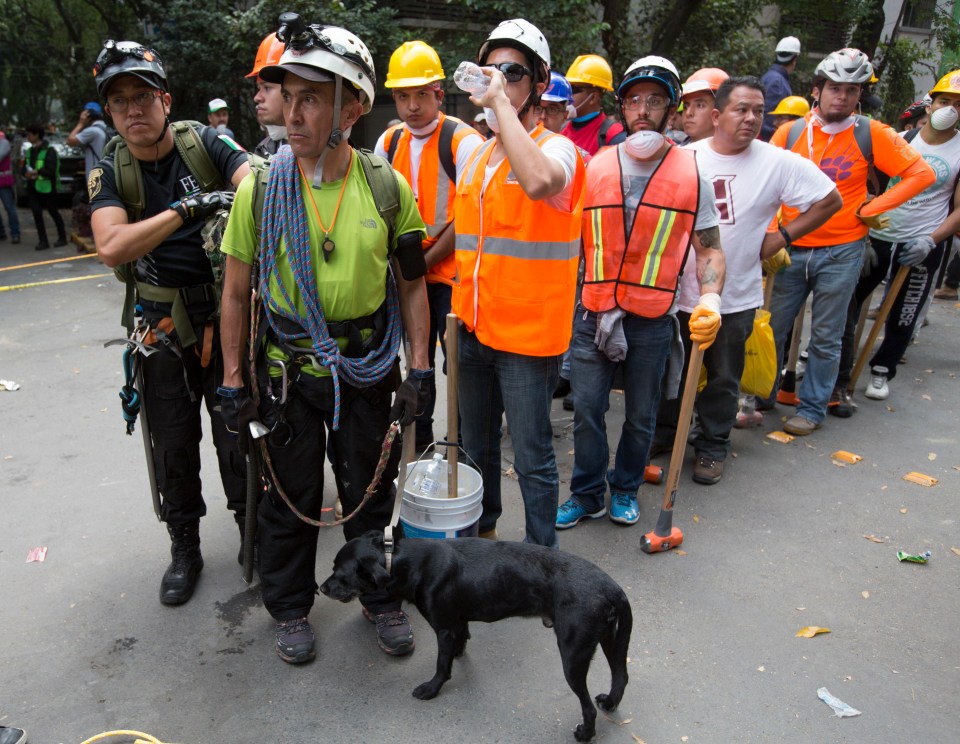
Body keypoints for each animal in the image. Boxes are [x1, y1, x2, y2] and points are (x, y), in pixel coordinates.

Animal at [316, 532, 632, 740]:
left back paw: (585, 733)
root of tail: (610, 585)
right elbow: (462, 638)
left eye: (340, 573)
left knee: (588, 707)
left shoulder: (443, 628)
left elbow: (442, 665)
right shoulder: (458, 622)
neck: (405, 561)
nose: (321, 588)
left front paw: (431, 689)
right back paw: (611, 702)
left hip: (573, 654)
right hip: (608, 639)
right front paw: (459, 651)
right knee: (621, 675)